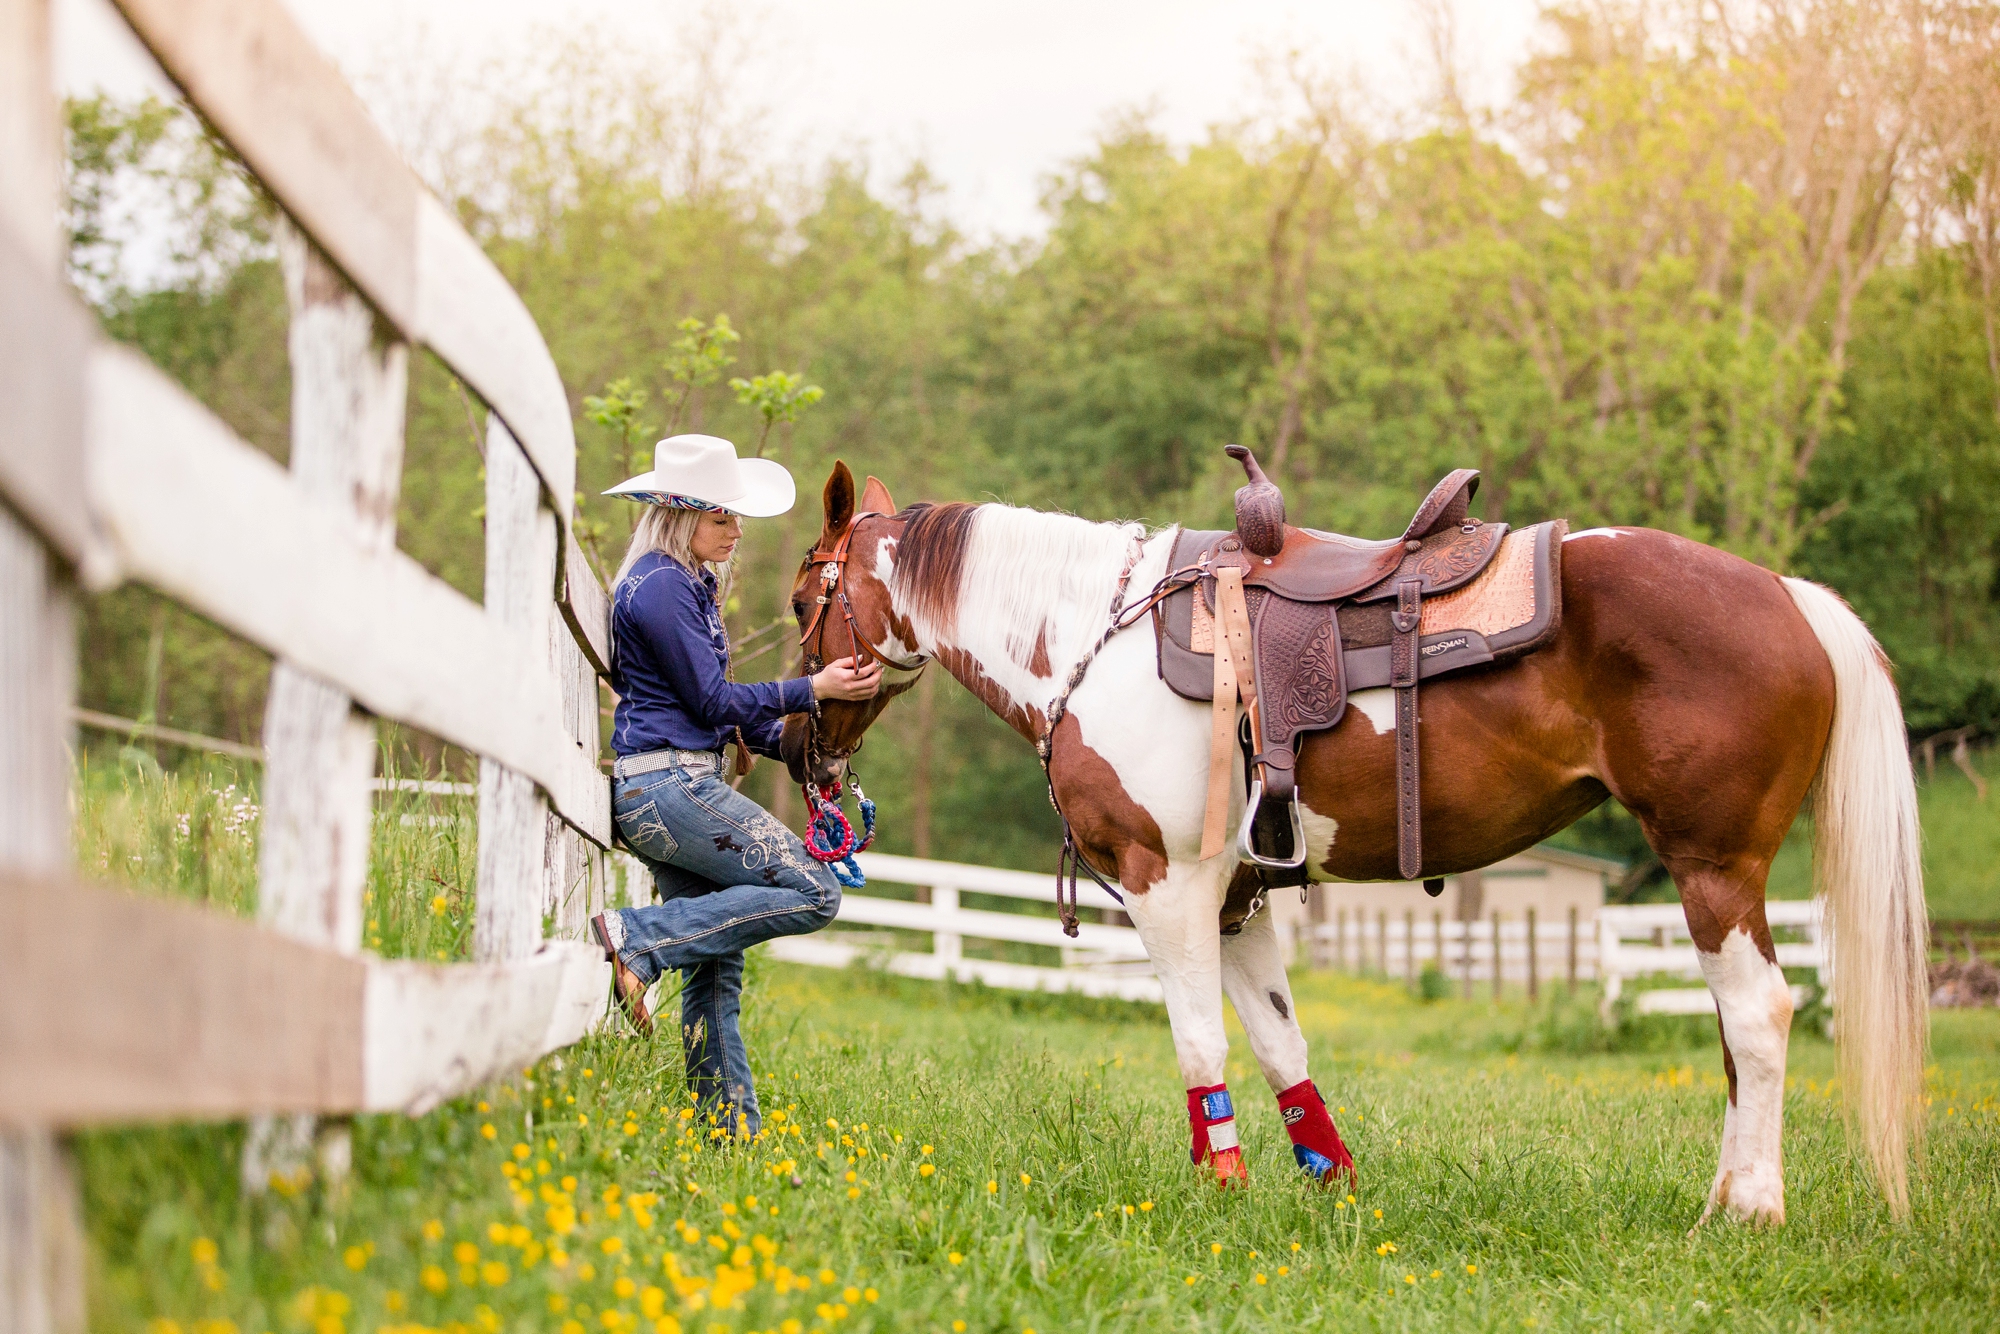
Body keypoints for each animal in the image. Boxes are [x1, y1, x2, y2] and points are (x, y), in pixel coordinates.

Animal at [788, 464, 1928, 1224]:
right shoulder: (1239, 898)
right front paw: (1325, 1186)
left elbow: (1199, 1043)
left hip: (1712, 869)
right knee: (1738, 1033)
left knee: (1758, 1018)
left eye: (805, 598)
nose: (802, 745)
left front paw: (1221, 1186)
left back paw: (1747, 1210)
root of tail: (1786, 595)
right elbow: (1280, 1044)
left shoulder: (1169, 887)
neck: (1090, 635)